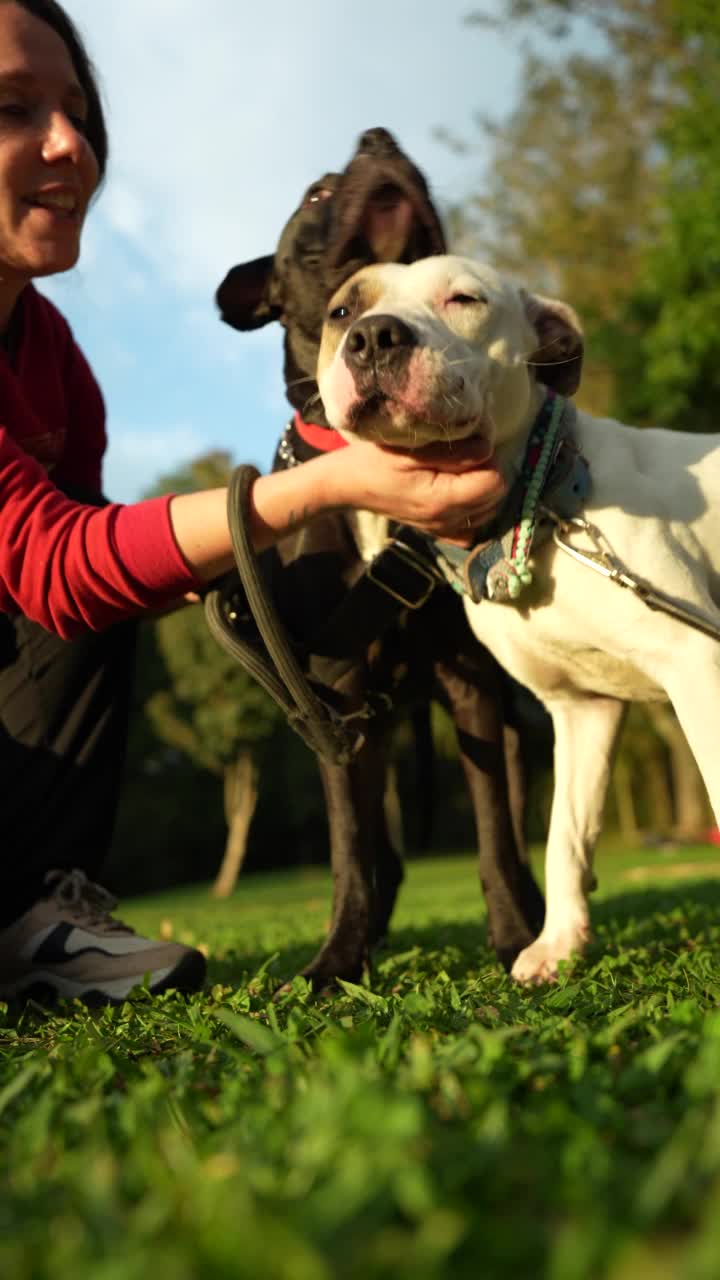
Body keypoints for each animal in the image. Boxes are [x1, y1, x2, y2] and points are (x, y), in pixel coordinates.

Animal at [215, 127, 540, 988]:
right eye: (319, 193)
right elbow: (351, 851)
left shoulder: (471, 684)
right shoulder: (335, 698)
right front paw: (336, 960)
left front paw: (511, 937)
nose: (379, 137)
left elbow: (495, 833)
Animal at [316, 254, 717, 983]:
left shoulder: (697, 662)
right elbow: (565, 838)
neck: (545, 503)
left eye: (464, 298)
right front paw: (557, 944)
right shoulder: (583, 710)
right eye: (341, 311)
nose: (374, 337)